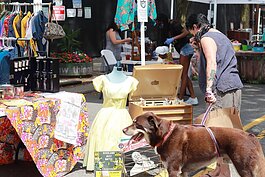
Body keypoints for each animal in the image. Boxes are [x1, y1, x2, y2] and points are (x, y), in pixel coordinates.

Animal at [122, 112, 264, 177]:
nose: (123, 130)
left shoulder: (173, 170)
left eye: (136, 123)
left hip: (245, 169)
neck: (165, 135)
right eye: (133, 121)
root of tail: (250, 136)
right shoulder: (183, 172)